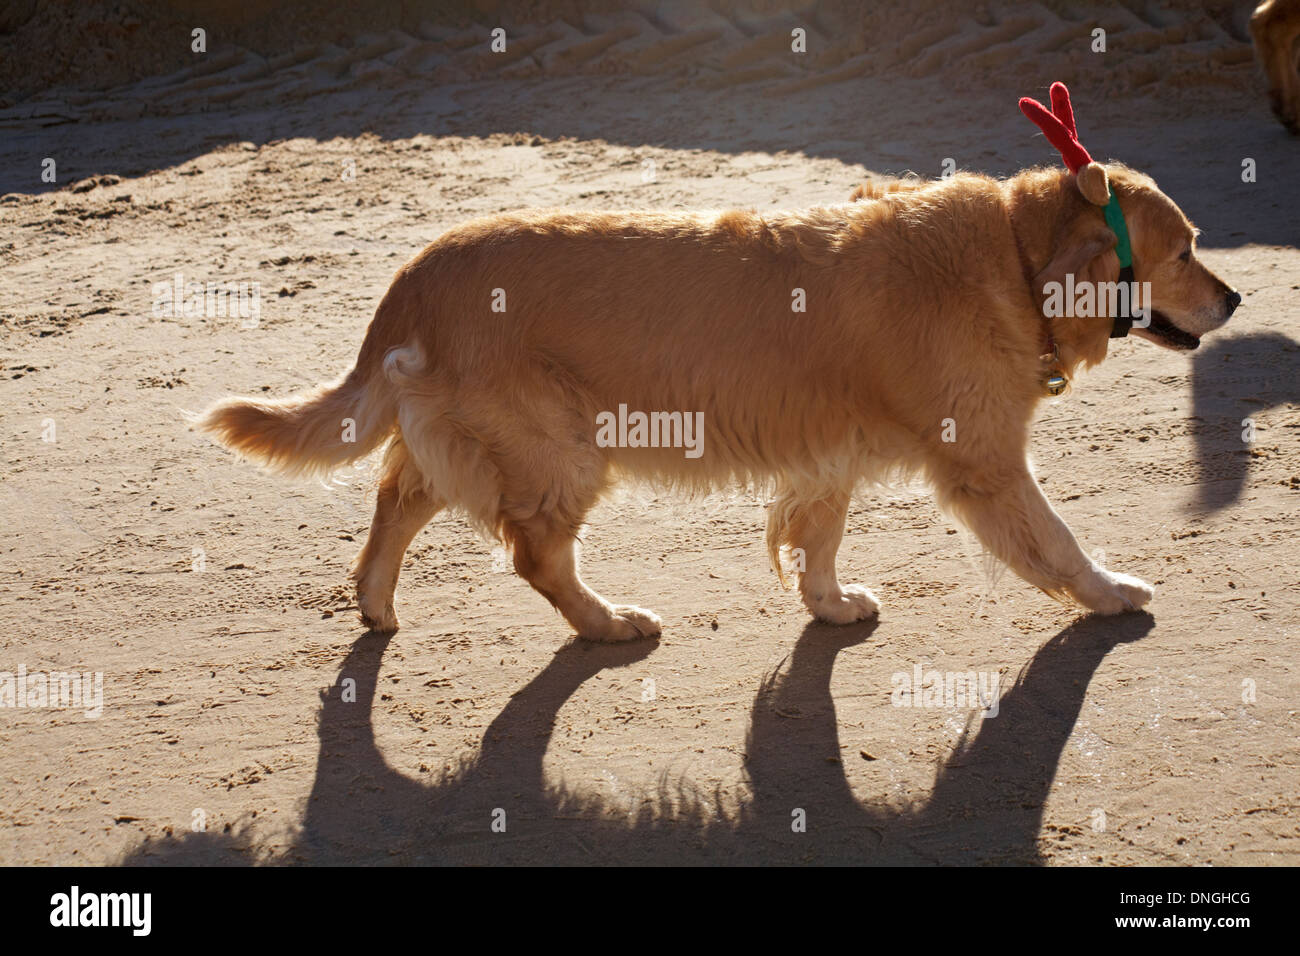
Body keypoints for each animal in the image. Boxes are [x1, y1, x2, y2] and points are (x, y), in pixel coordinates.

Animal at [195, 145, 1237, 639]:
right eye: (1187, 248)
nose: (1237, 297)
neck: (1015, 258)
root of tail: (414, 272)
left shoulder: (832, 452)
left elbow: (816, 541)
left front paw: (829, 604)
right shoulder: (984, 463)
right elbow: (1055, 541)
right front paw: (1109, 592)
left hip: (478, 440)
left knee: (397, 497)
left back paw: (375, 603)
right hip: (561, 449)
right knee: (534, 554)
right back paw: (608, 623)